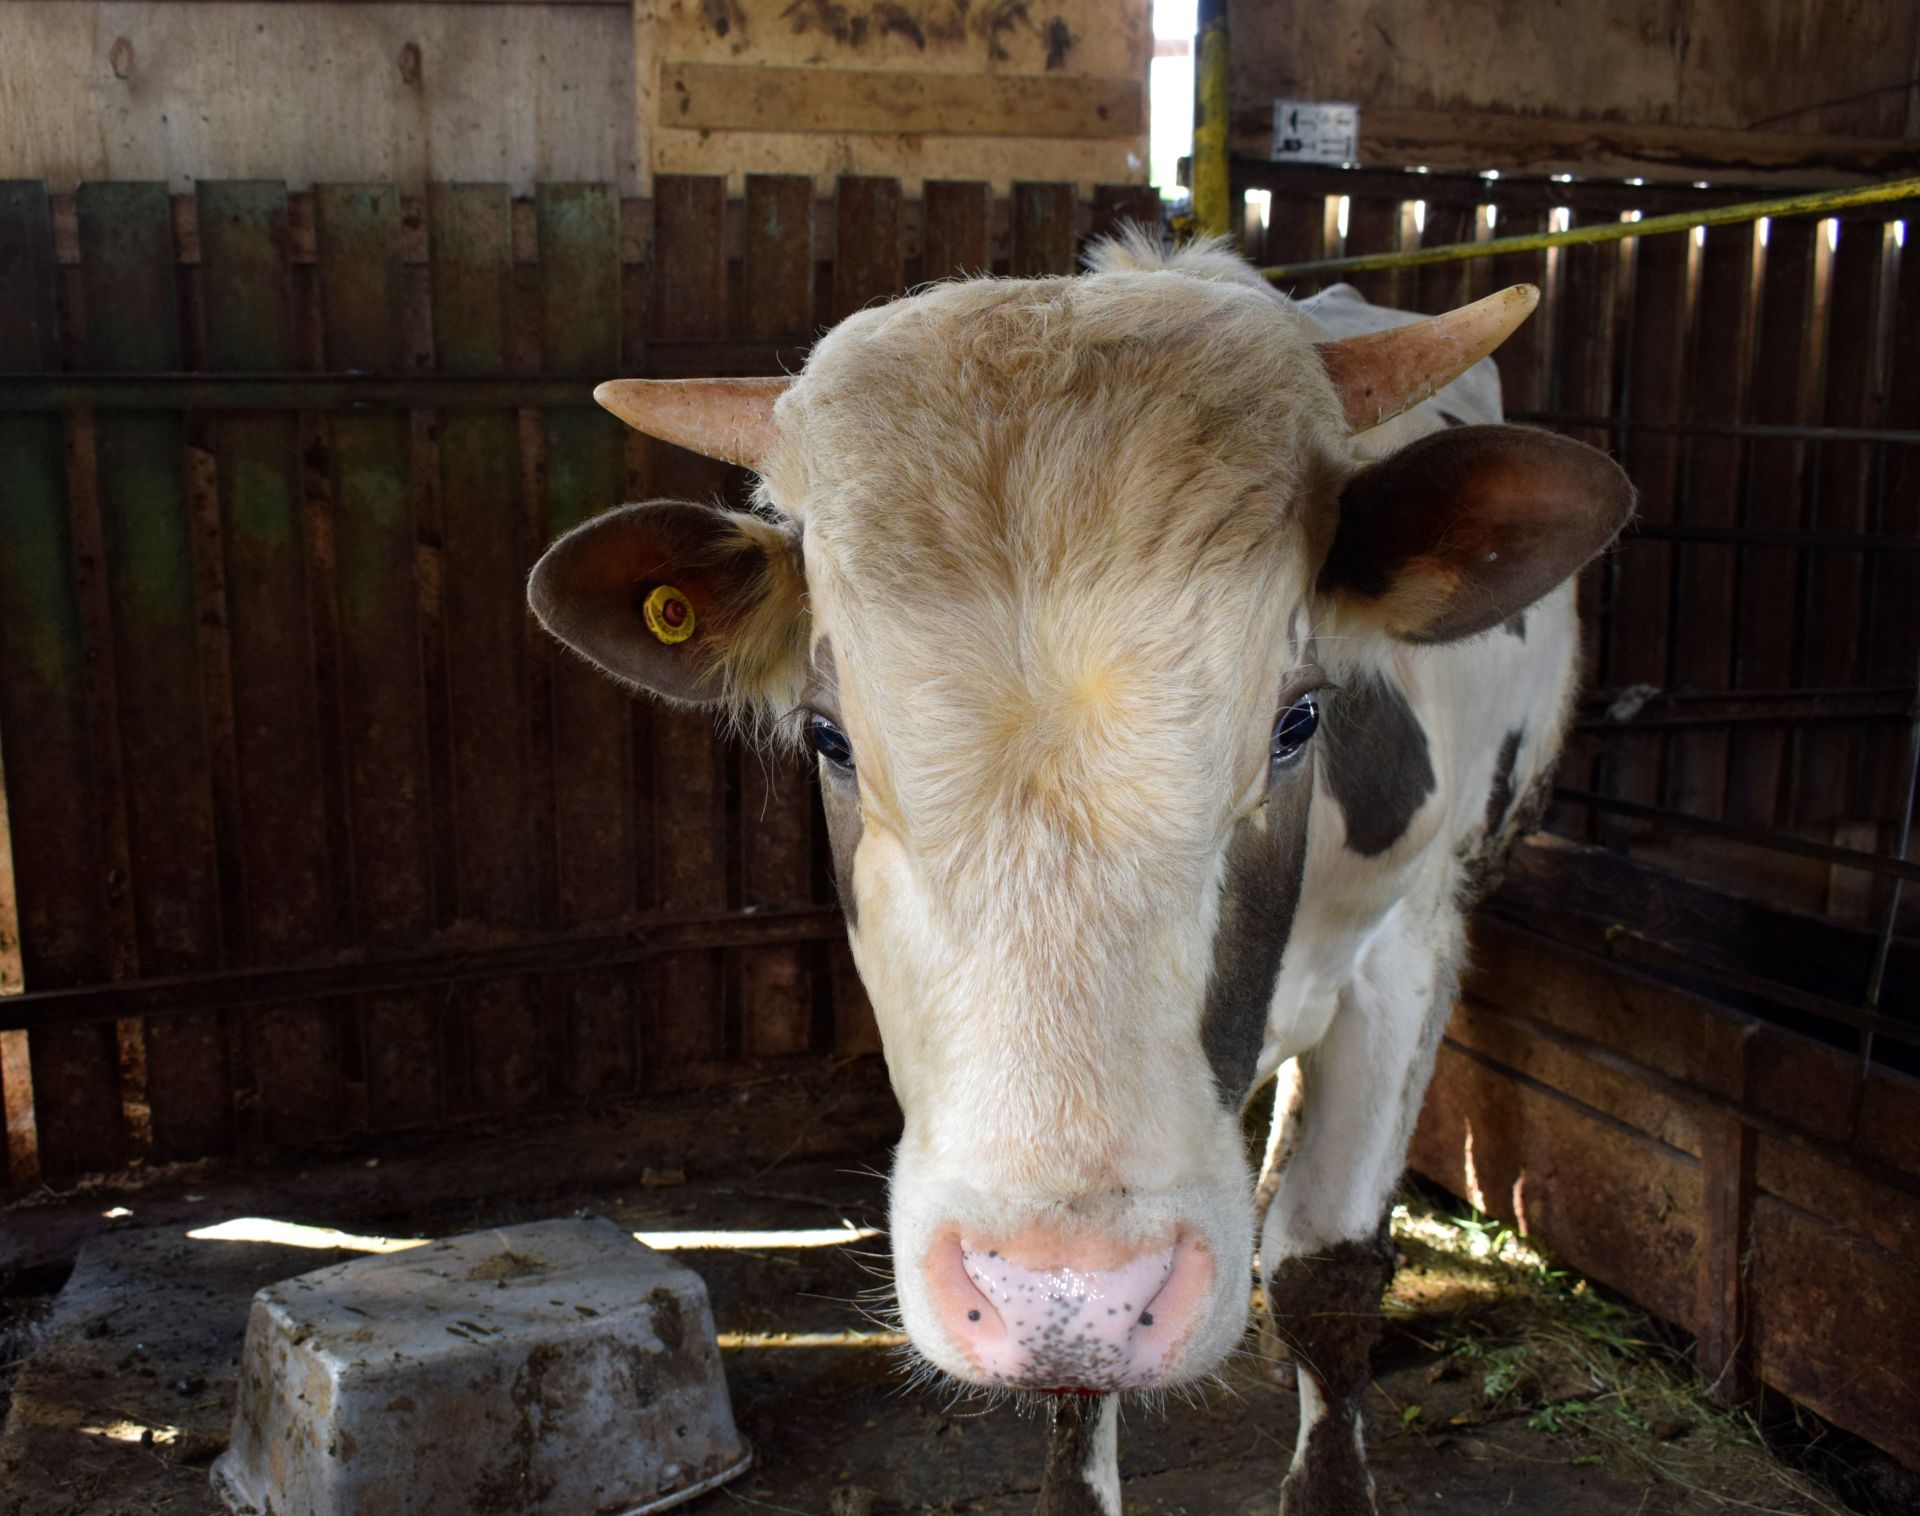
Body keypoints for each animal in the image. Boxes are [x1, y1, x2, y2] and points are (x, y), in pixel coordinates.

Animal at [529, 240, 1635, 1516]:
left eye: (1299, 719)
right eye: (829, 737)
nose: (1071, 1288)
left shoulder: (1406, 952)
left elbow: (1328, 1268)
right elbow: (1075, 1402)